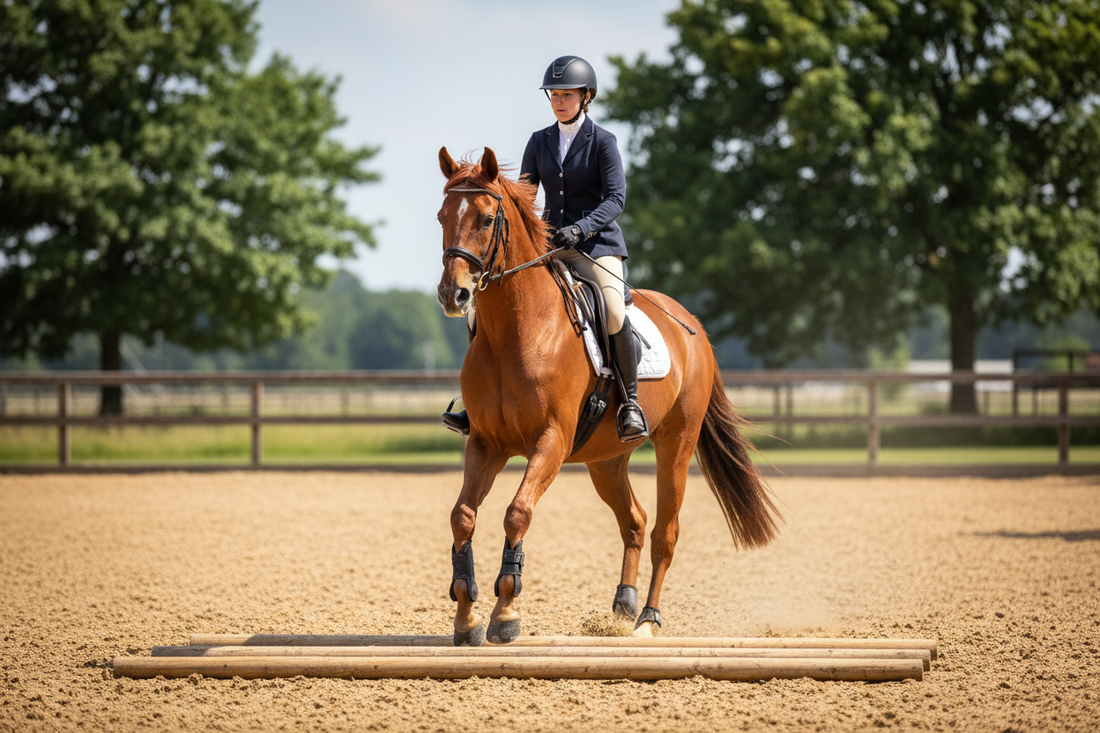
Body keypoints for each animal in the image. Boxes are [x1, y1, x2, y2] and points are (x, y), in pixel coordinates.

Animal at [435, 146, 782, 646]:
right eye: (442, 216)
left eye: (485, 219)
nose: (453, 294)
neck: (515, 330)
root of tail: (692, 325)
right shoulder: (486, 443)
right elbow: (462, 516)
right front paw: (466, 619)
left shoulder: (551, 441)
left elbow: (517, 513)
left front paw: (505, 615)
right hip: (605, 460)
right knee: (634, 519)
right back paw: (623, 606)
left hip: (676, 445)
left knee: (665, 532)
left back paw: (648, 620)